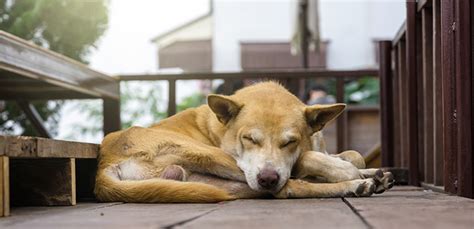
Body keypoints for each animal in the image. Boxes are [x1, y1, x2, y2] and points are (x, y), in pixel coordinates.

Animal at [94, 82, 394, 202]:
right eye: (249, 139)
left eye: (290, 142)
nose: (268, 178)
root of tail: (103, 166)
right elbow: (310, 160)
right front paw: (349, 172)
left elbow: (354, 154)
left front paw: (363, 168)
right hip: (222, 160)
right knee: (291, 186)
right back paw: (357, 184)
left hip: (224, 184)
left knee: (289, 189)